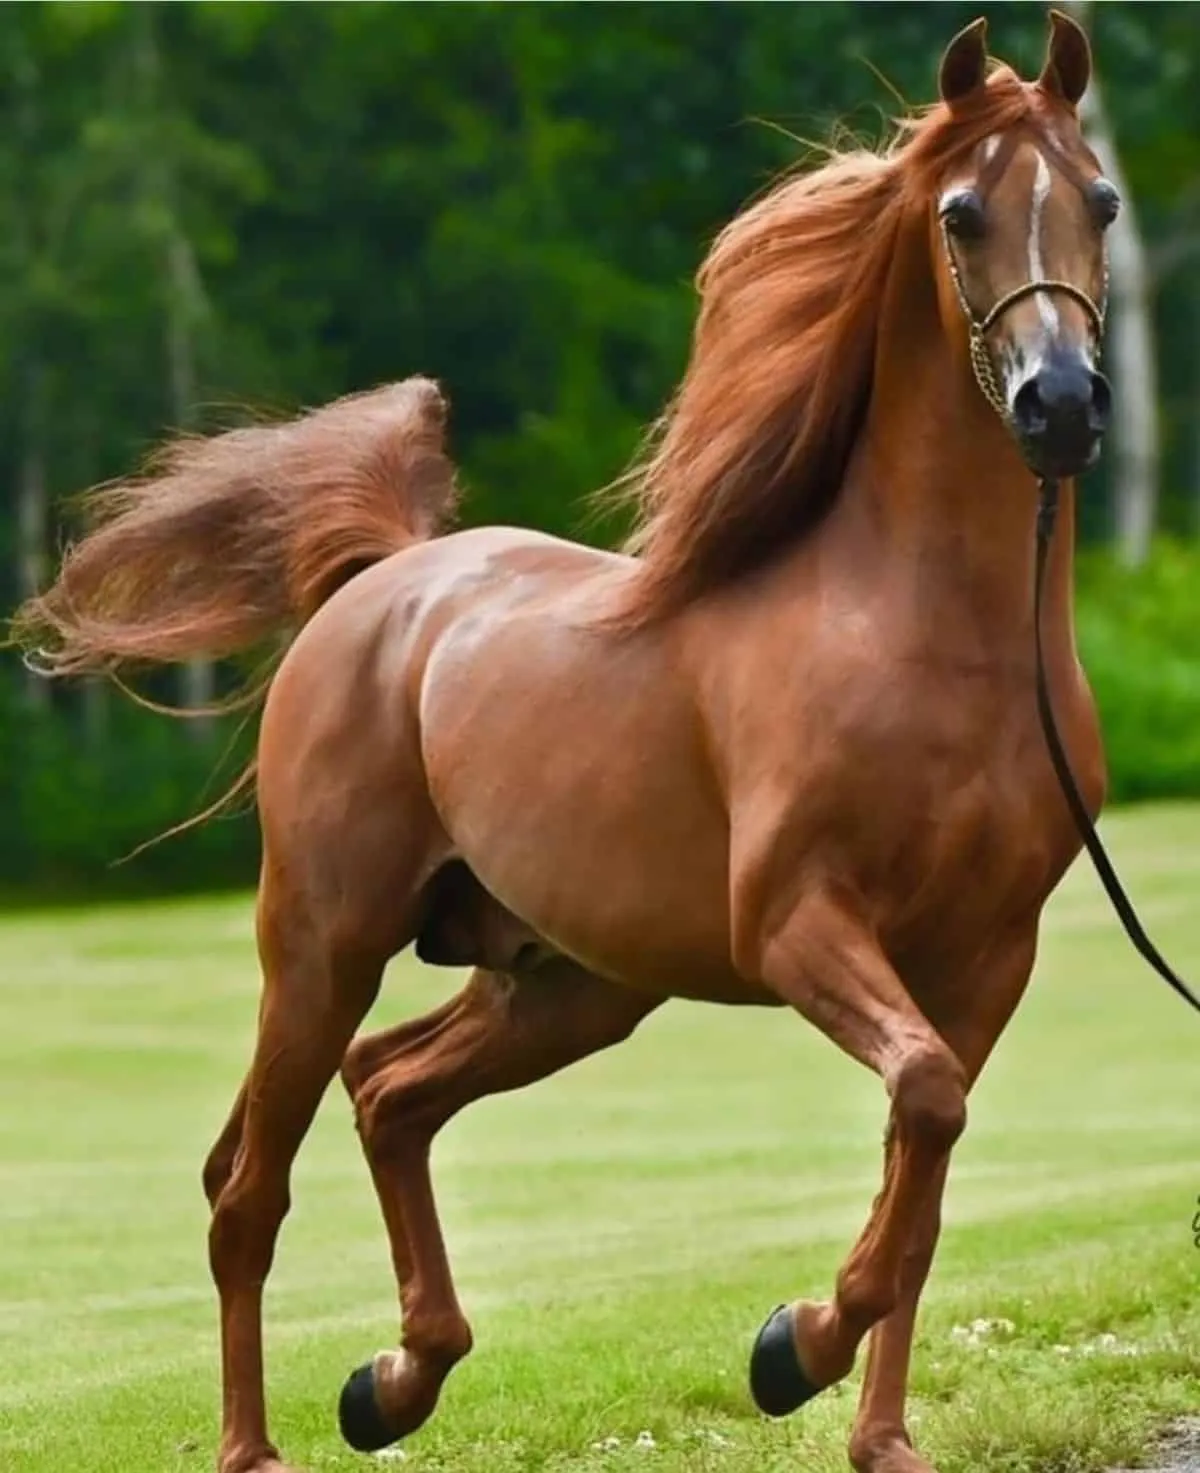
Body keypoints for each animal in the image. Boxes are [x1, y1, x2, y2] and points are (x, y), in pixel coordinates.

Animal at [13, 12, 1124, 1473]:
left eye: (1101, 200)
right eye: (962, 211)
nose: (1063, 404)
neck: (933, 640)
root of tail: (386, 579)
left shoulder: (987, 958)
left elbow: (924, 1171)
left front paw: (876, 1433)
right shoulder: (798, 923)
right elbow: (926, 1110)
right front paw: (789, 1349)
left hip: (566, 984)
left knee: (391, 1093)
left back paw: (396, 1379)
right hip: (322, 944)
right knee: (247, 1187)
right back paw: (260, 1444)